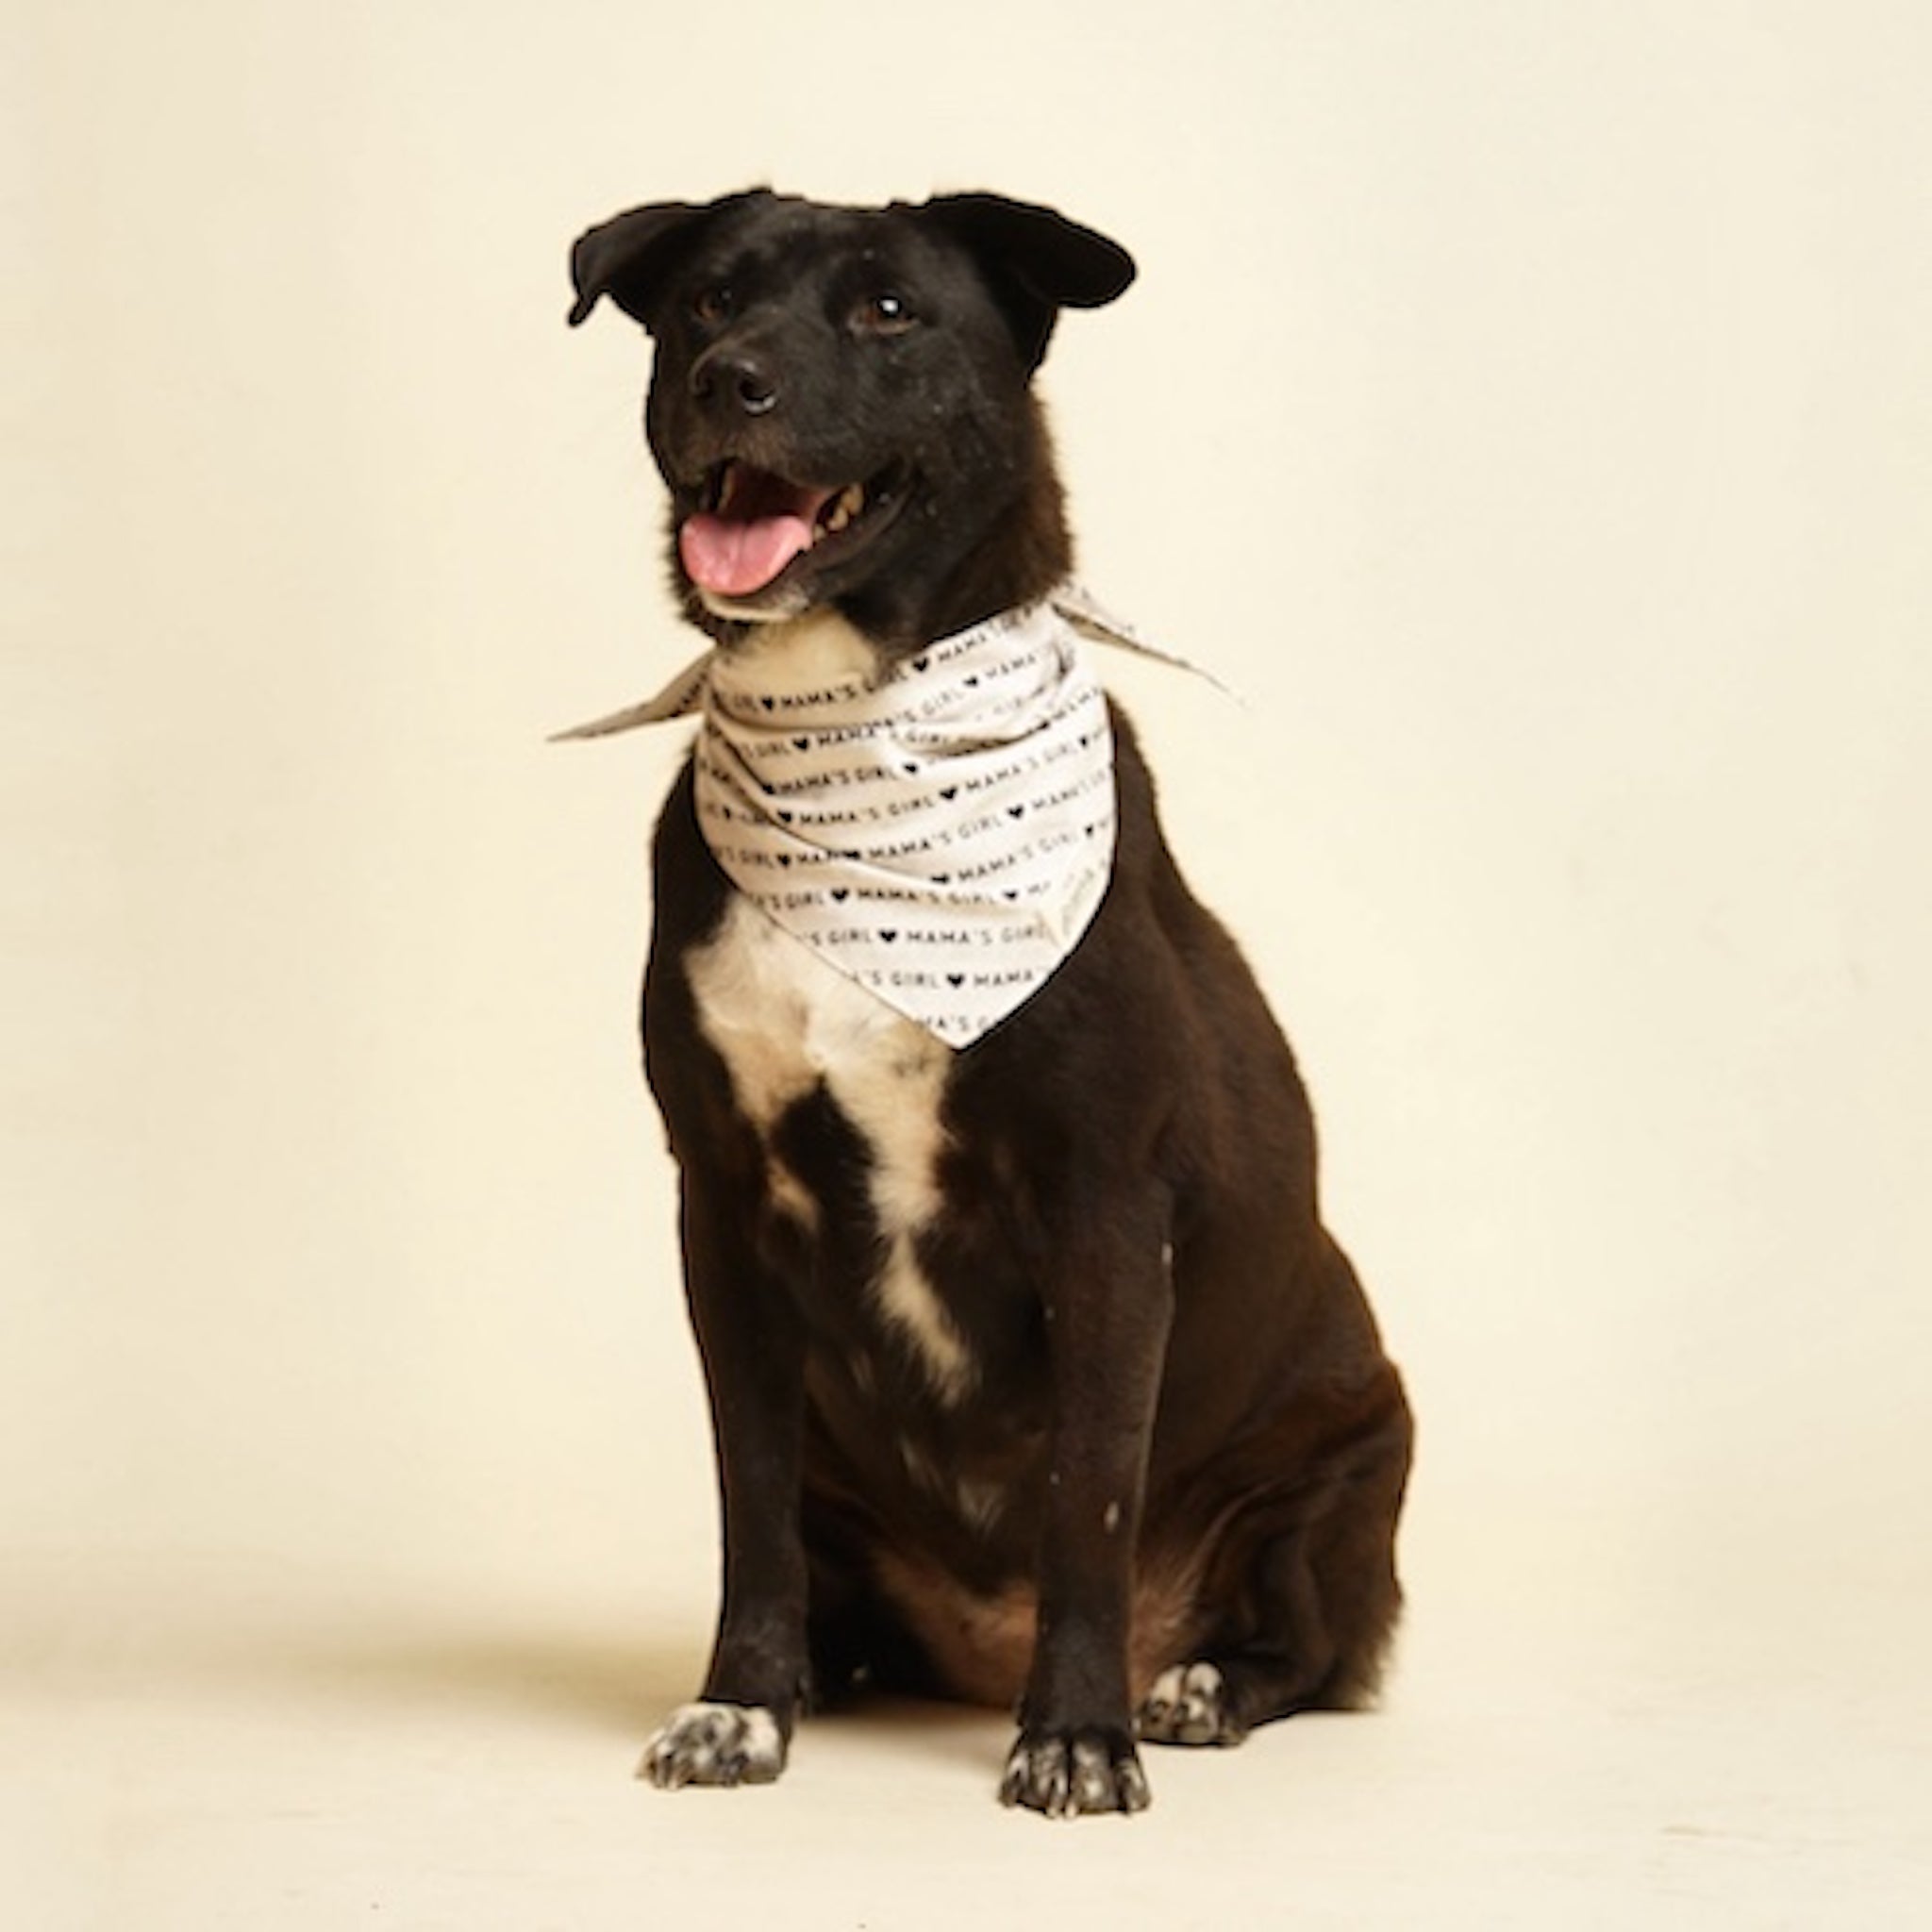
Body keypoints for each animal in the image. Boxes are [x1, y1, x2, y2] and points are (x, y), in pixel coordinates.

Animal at [564, 188, 1414, 1816]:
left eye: (890, 310)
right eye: (707, 300)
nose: (729, 381)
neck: (857, 726)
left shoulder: (1102, 1204)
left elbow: (1090, 1492)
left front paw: (1076, 1734)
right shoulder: (721, 1212)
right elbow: (749, 1506)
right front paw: (739, 1705)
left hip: (1346, 1460)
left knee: (1305, 1647)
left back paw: (1190, 1686)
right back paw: (830, 1673)